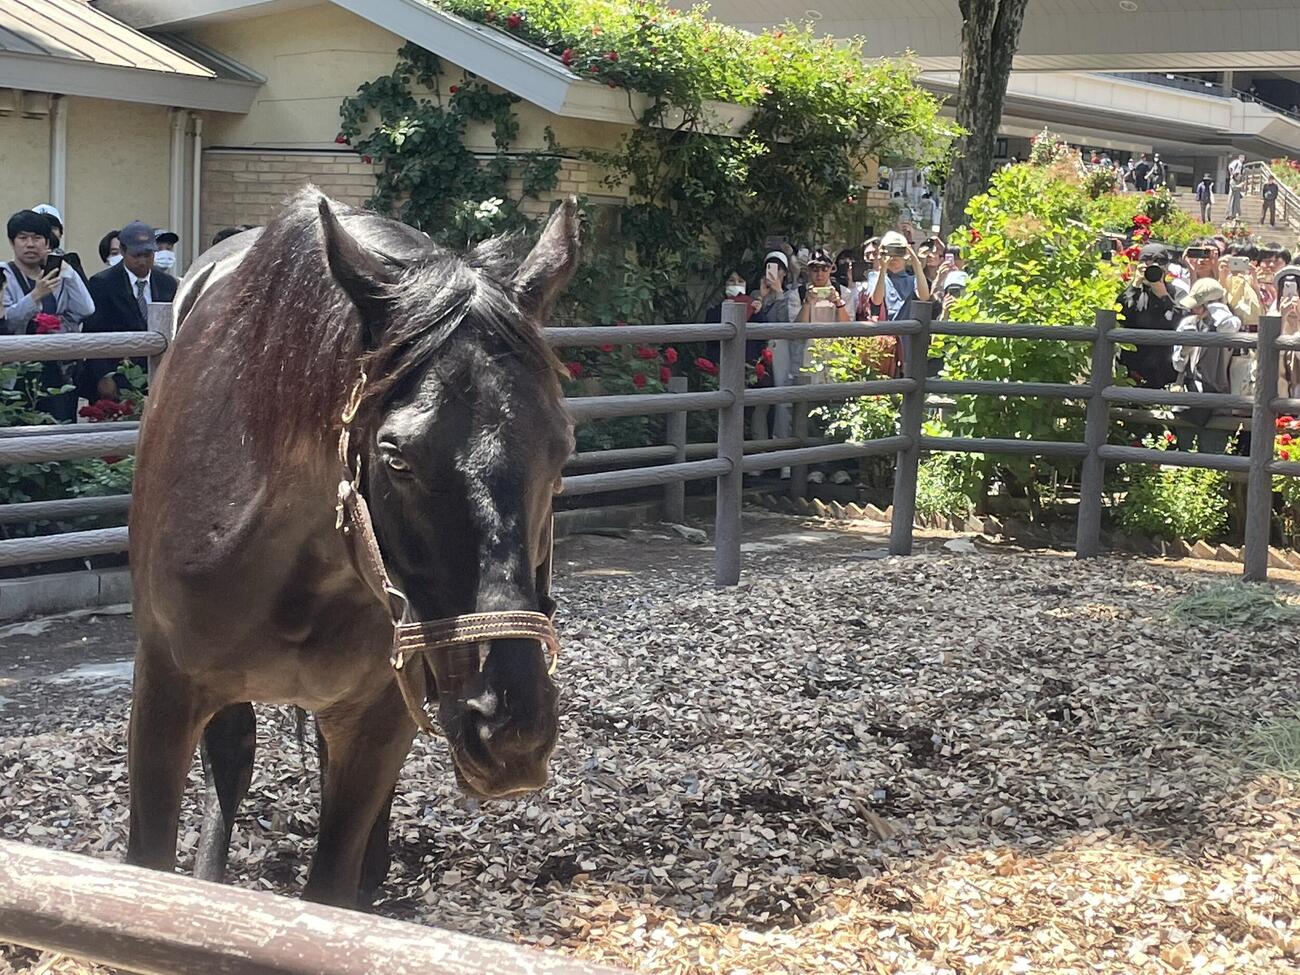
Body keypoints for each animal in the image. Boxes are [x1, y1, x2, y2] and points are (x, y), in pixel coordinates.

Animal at [126, 187, 579, 907]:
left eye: (562, 451)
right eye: (396, 457)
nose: (514, 730)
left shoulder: (376, 721)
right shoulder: (165, 691)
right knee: (233, 755)